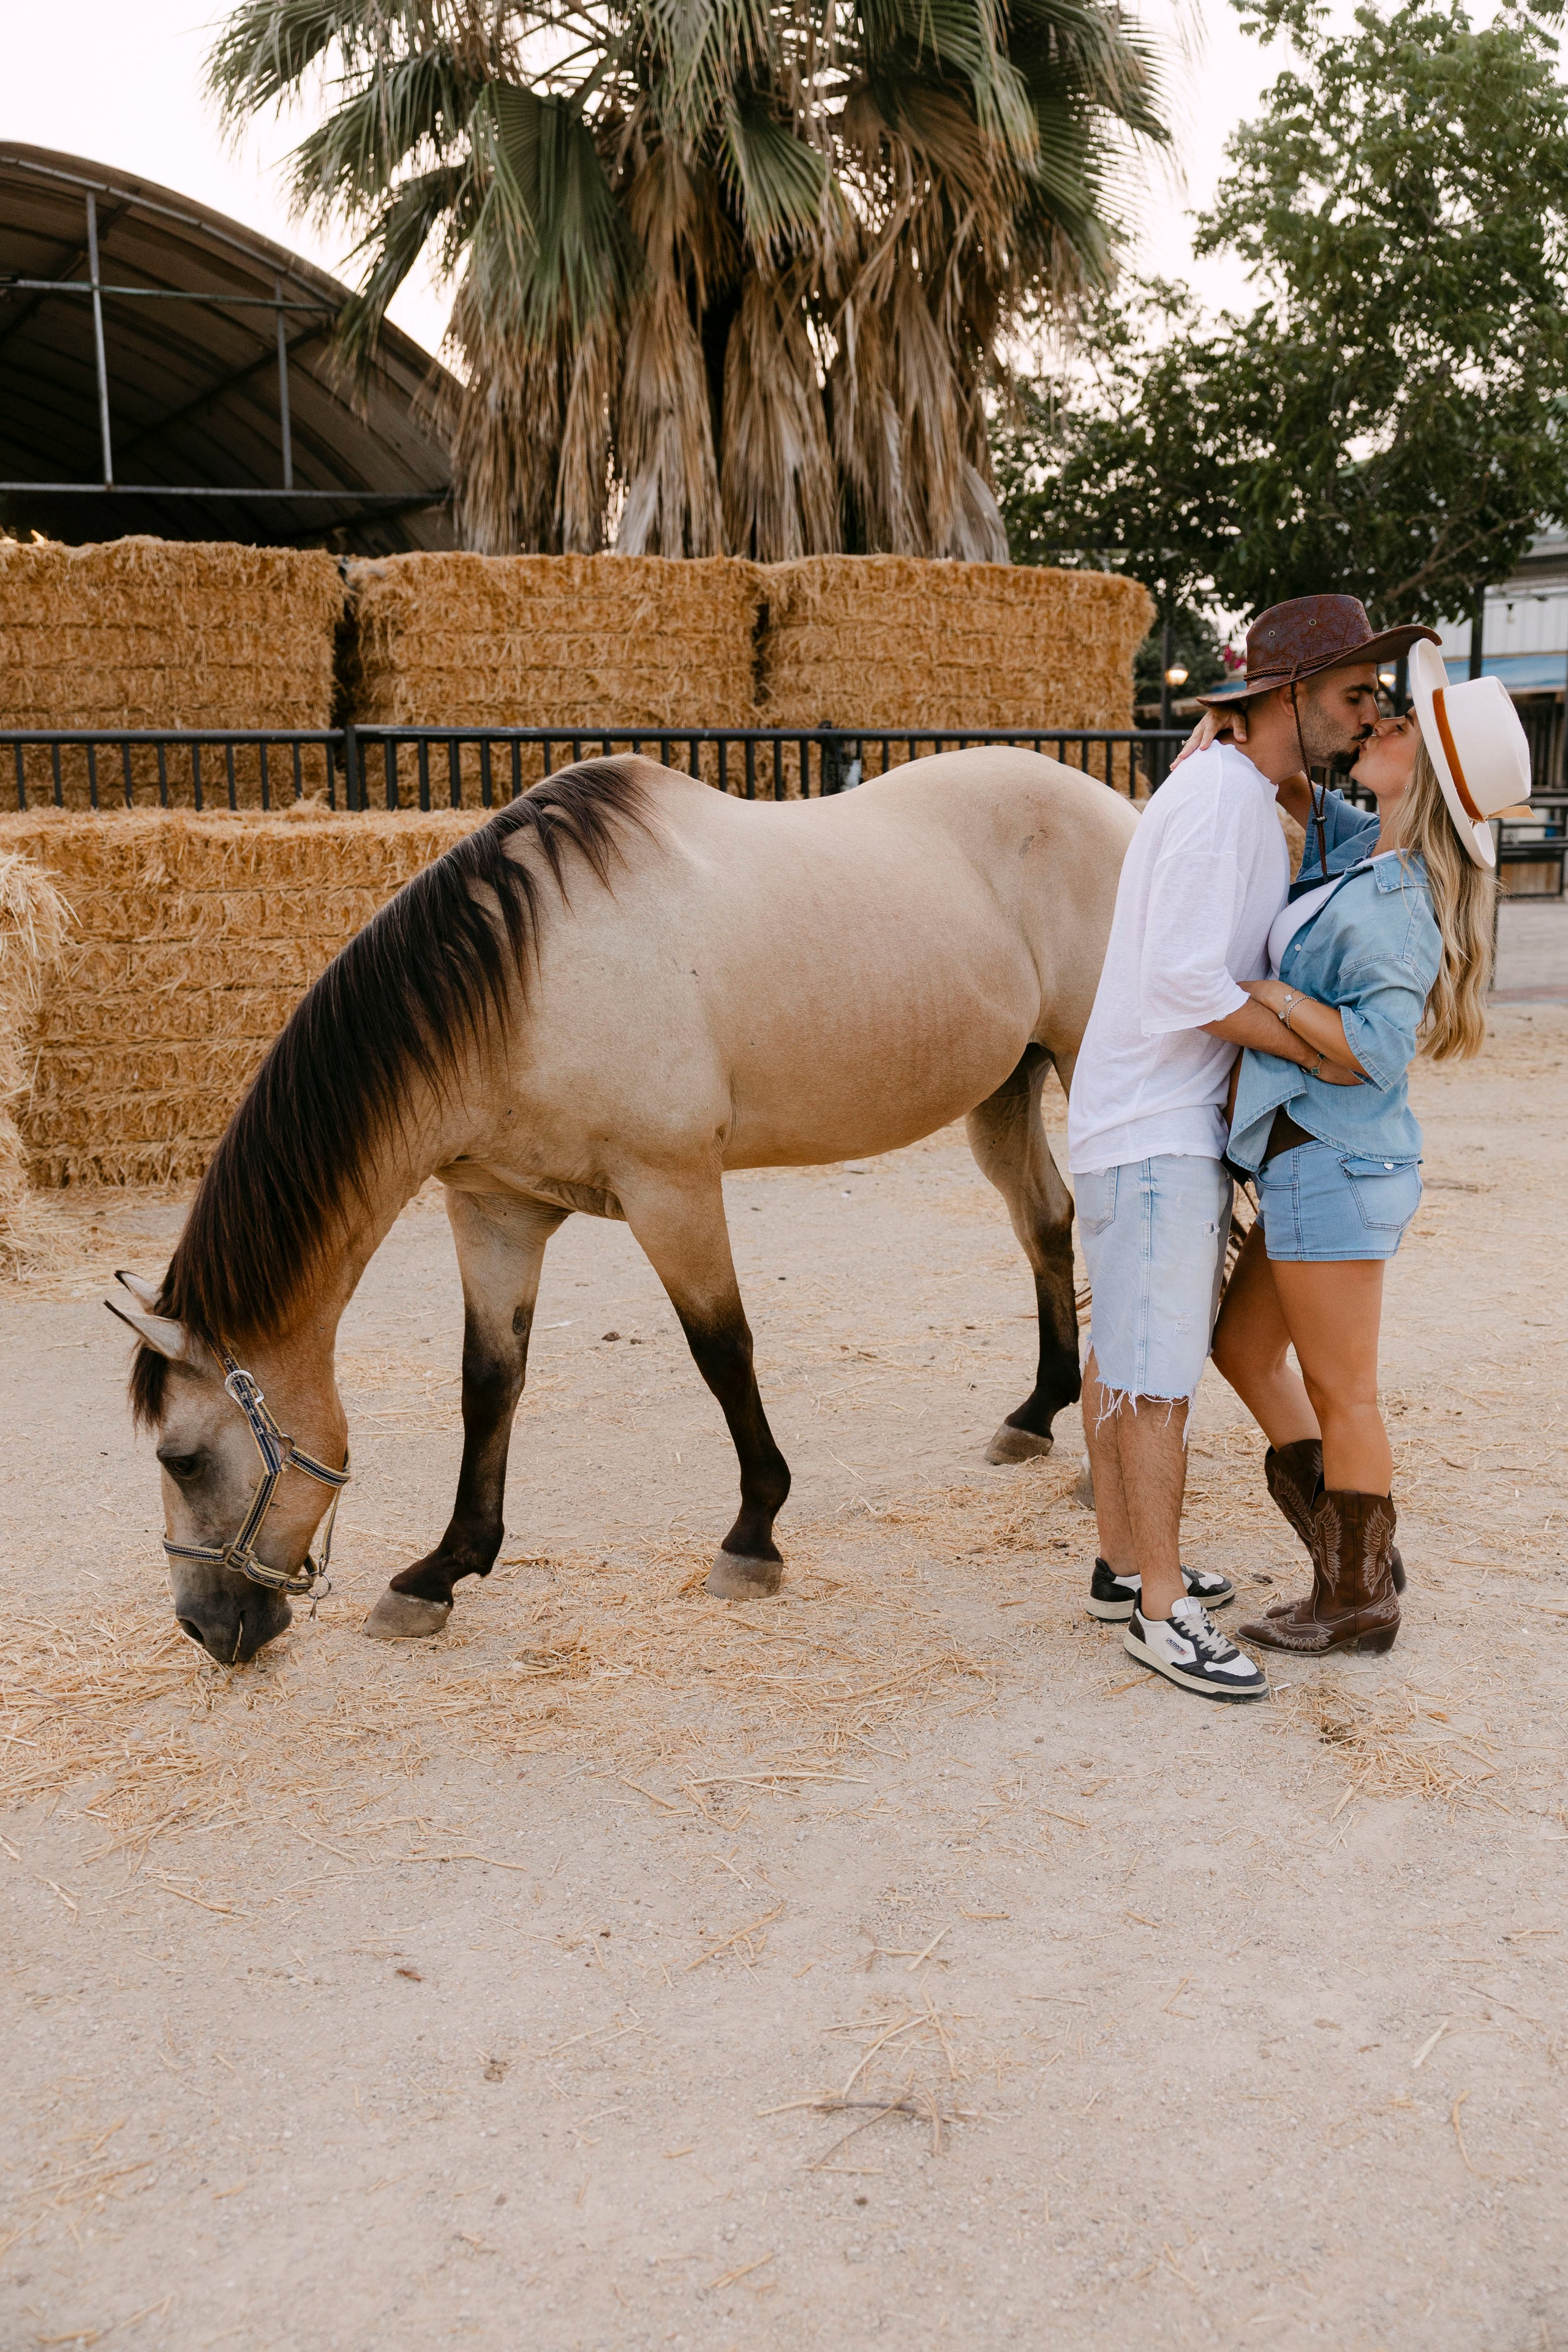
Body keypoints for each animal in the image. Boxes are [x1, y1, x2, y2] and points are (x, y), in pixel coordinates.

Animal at [108, 747, 1136, 1664]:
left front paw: (753, 1537)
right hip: (1004, 1090)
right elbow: (490, 1383)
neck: (526, 981)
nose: (204, 1628)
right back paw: (1038, 1413)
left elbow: (723, 1352)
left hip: (1089, 1070)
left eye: (181, 1460)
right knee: (1046, 1225)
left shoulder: (670, 1189)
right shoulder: (495, 1214)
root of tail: (1114, 803)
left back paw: (1103, 1470)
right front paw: (441, 1572)